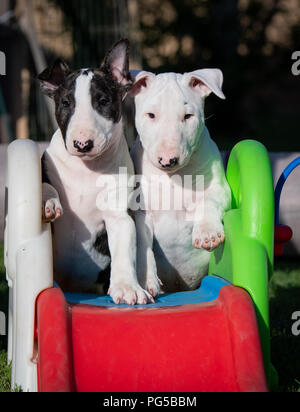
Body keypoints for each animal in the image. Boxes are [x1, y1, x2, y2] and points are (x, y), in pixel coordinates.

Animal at [39, 40, 152, 306]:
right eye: (66, 103)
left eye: (103, 101)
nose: (82, 144)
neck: (85, 169)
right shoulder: (45, 166)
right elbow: (45, 185)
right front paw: (49, 204)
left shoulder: (118, 214)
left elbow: (124, 247)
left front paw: (127, 287)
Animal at [130, 70, 231, 296]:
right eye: (151, 115)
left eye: (188, 116)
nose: (168, 160)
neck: (173, 178)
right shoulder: (141, 211)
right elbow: (141, 240)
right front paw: (146, 281)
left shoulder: (220, 190)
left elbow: (208, 201)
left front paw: (207, 233)